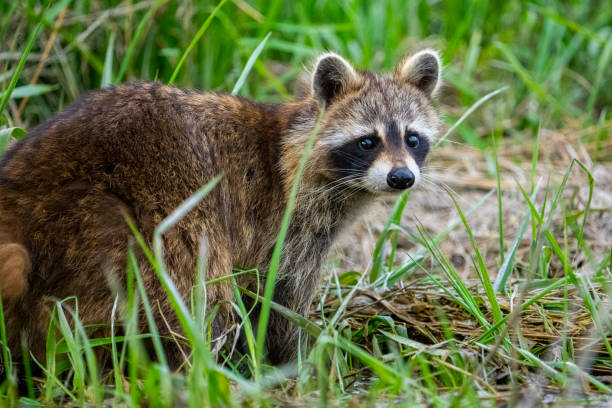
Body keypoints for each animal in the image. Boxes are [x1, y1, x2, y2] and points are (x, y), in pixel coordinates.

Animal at [0, 49, 440, 364]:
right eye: (368, 141)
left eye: (412, 138)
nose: (402, 177)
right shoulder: (286, 224)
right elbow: (277, 299)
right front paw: (299, 361)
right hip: (148, 219)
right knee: (197, 287)